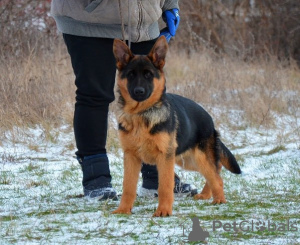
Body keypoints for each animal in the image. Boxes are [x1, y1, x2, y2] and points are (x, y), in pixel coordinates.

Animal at [112, 36, 241, 216]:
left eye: (148, 75)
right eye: (130, 75)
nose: (139, 92)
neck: (142, 114)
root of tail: (209, 119)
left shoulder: (165, 158)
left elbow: (165, 186)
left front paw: (163, 211)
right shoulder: (131, 157)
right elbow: (128, 187)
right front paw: (123, 209)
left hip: (197, 157)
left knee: (216, 175)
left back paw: (219, 199)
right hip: (186, 159)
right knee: (216, 169)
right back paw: (206, 194)